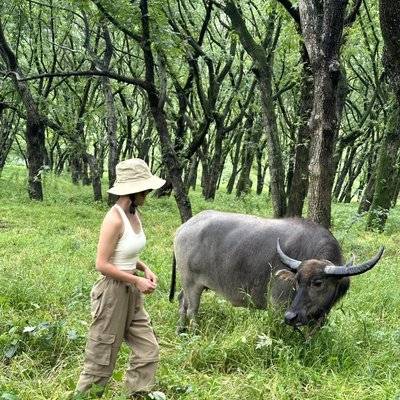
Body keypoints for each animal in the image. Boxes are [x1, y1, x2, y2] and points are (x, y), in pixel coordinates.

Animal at [170, 209, 384, 332]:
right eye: (297, 281)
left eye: (318, 282)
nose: (291, 317)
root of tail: (184, 228)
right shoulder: (278, 306)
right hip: (191, 283)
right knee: (192, 309)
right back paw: (195, 332)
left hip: (189, 283)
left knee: (182, 301)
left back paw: (181, 330)